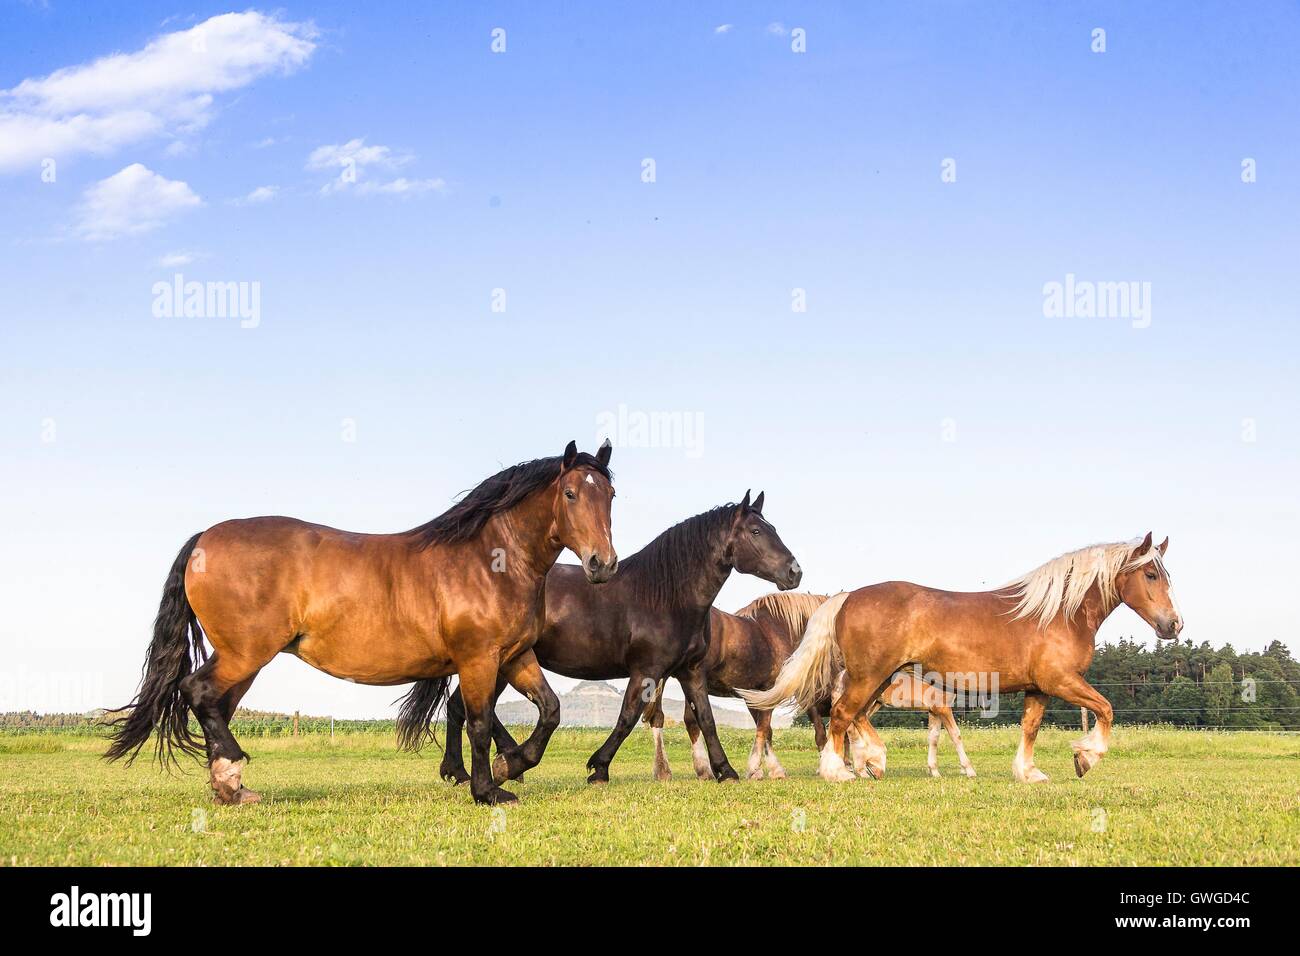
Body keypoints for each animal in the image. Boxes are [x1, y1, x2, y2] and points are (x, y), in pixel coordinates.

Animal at [107, 442, 618, 806]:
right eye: (570, 493)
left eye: (610, 494)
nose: (603, 564)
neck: (490, 559)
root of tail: (203, 540)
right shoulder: (478, 659)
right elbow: (477, 721)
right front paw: (489, 790)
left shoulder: (514, 656)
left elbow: (550, 710)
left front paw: (512, 765)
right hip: (245, 653)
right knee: (198, 692)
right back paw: (231, 773)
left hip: (243, 659)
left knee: (217, 704)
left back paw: (231, 787)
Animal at [439, 494, 800, 785]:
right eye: (756, 531)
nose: (794, 571)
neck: (666, 595)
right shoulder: (647, 671)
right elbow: (627, 717)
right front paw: (598, 768)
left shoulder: (692, 671)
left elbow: (706, 719)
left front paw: (725, 770)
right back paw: (497, 764)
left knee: (459, 707)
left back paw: (466, 770)